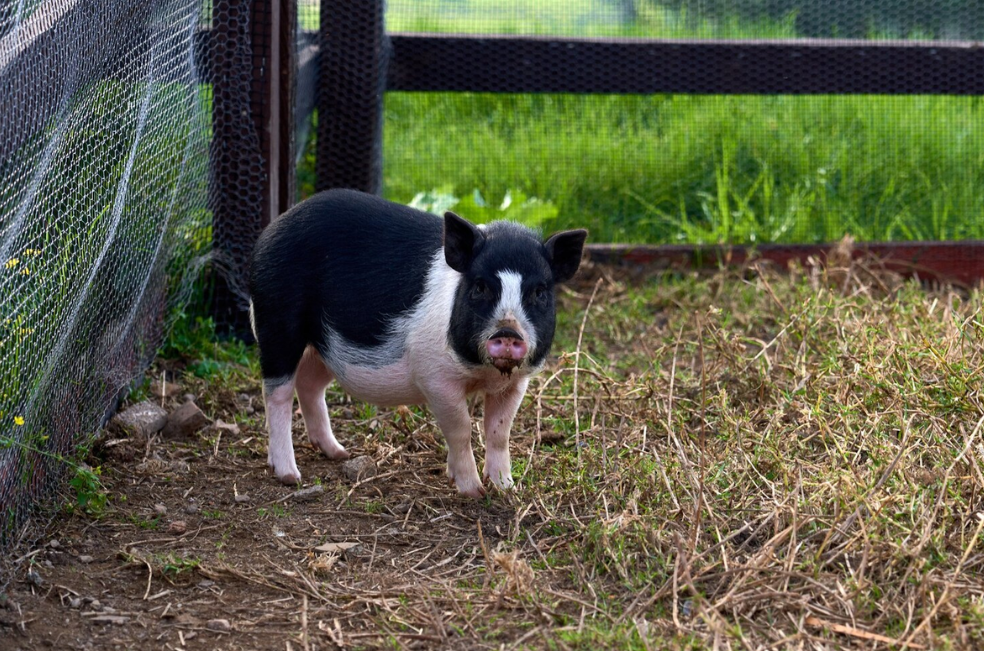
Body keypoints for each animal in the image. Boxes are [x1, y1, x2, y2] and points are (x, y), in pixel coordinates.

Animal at [248, 189, 587, 497]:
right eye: (480, 287)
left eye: (540, 292)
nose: (508, 332)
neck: (481, 372)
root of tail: (270, 233)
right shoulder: (435, 378)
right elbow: (461, 429)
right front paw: (473, 491)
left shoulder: (516, 382)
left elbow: (499, 431)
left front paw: (506, 489)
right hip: (277, 322)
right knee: (277, 393)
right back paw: (290, 476)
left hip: (324, 346)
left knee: (309, 384)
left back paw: (339, 452)